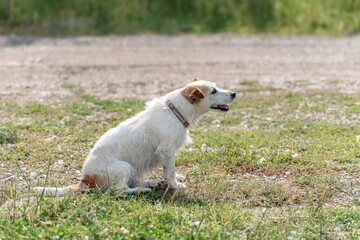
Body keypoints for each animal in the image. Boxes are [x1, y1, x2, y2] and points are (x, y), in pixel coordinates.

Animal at [35, 78, 236, 196]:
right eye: (213, 91)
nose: (234, 93)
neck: (175, 112)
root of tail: (85, 180)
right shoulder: (167, 151)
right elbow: (170, 171)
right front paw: (175, 185)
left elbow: (169, 171)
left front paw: (170, 181)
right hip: (124, 167)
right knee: (119, 190)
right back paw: (143, 189)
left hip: (132, 169)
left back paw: (153, 182)